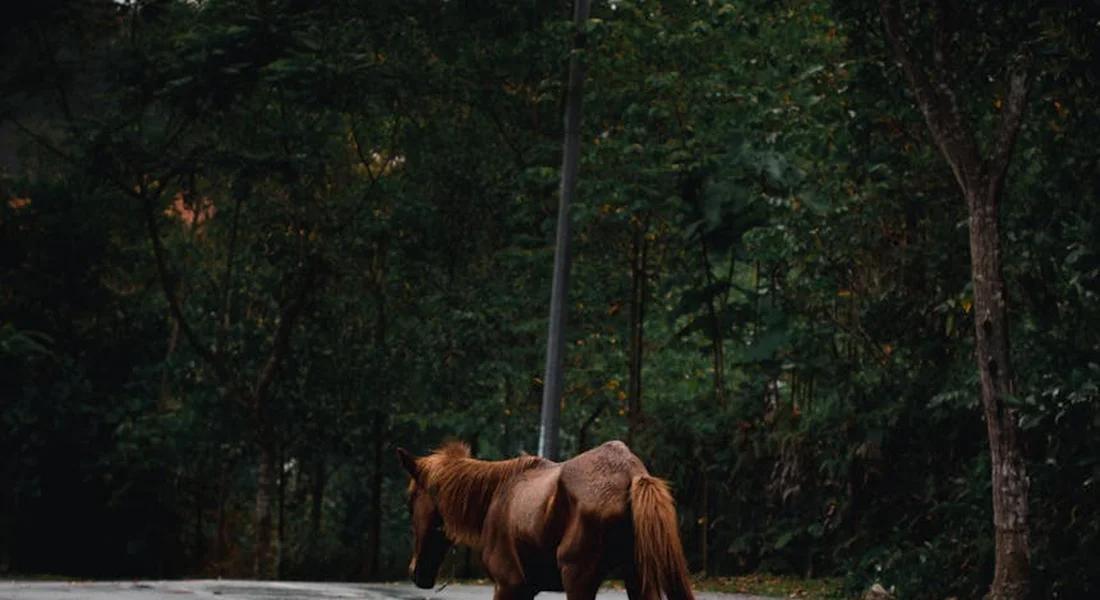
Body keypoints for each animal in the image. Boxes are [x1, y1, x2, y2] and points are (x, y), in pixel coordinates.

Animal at [396, 440, 694, 600]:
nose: (416, 572)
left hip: (578, 578)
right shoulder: (527, 588)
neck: (494, 494)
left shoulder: (509, 585)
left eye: (410, 502)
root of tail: (632, 474)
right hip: (637, 575)